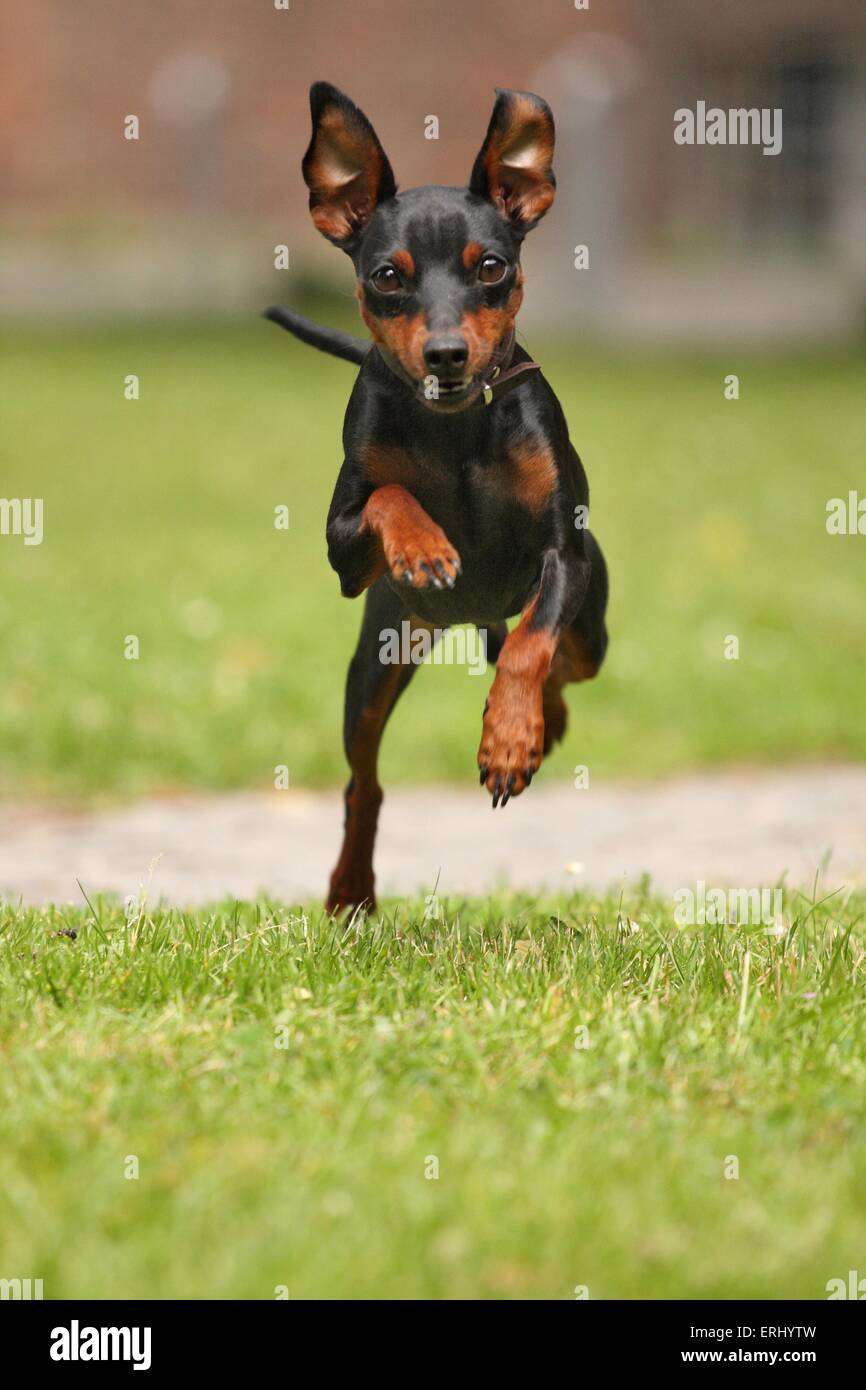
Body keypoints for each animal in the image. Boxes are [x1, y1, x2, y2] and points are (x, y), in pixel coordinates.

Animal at [265, 84, 608, 911]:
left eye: (491, 266)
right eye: (388, 277)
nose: (448, 355)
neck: (454, 429)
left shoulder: (565, 555)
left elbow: (531, 646)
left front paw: (510, 738)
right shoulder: (342, 553)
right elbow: (389, 492)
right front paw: (424, 545)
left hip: (593, 630)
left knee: (548, 654)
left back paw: (537, 726)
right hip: (377, 664)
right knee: (365, 785)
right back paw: (351, 889)